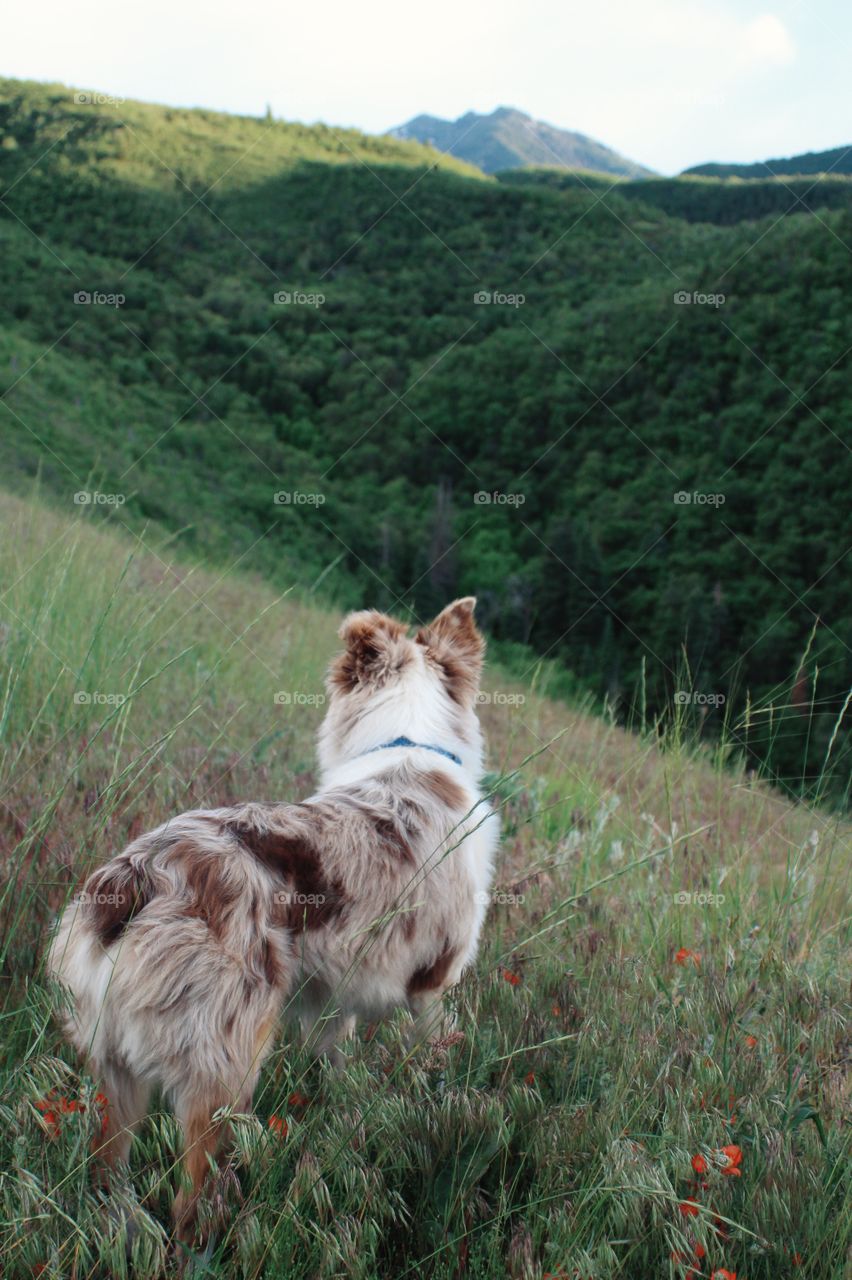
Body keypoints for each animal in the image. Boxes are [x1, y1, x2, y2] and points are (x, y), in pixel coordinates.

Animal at [47, 599, 498, 1239]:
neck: (409, 745)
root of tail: (142, 874)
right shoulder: (431, 984)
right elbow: (433, 1054)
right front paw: (438, 1102)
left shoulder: (332, 1000)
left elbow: (337, 1067)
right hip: (226, 1067)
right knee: (190, 1200)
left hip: (112, 1066)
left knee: (106, 1172)